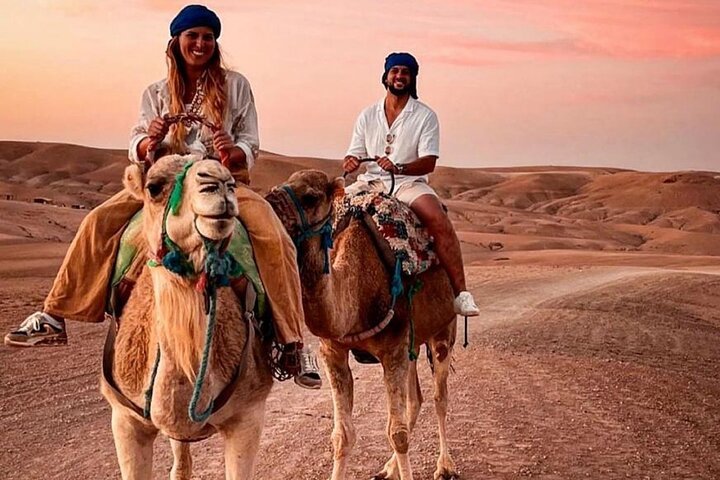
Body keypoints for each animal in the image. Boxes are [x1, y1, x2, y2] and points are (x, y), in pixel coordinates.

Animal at [268, 171, 458, 478]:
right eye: (278, 186)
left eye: (310, 197)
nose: (267, 206)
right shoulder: (333, 351)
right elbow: (342, 435)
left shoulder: (392, 350)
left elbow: (398, 434)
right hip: (412, 344)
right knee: (415, 399)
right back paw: (388, 468)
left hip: (443, 330)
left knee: (440, 398)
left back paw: (444, 466)